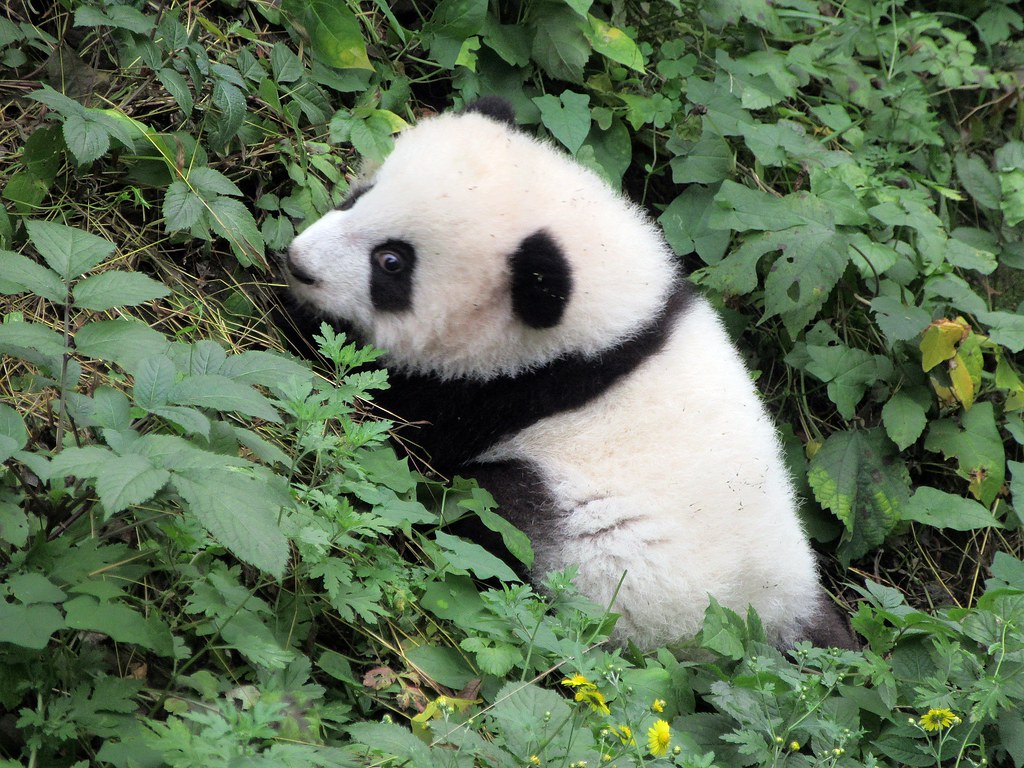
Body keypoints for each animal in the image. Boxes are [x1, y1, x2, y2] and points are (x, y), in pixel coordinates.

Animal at [284, 96, 855, 651]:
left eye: (392, 263)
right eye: (359, 196)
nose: (297, 262)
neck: (617, 328)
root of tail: (769, 621)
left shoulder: (505, 392)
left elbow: (398, 417)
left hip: (610, 567)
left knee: (495, 508)